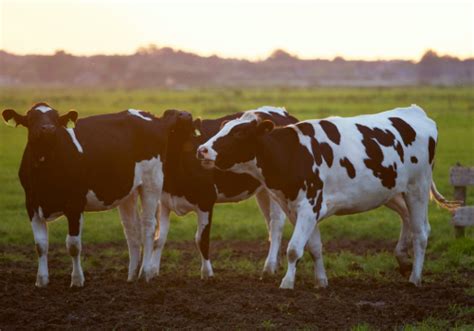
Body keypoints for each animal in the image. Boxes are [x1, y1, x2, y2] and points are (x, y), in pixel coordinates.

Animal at [3, 103, 193, 288]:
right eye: (32, 119)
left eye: (56, 119)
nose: (48, 129)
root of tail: (153, 118)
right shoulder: (31, 205)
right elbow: (40, 245)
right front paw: (41, 280)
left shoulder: (75, 205)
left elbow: (73, 245)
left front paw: (77, 280)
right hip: (128, 192)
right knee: (132, 230)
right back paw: (131, 276)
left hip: (151, 182)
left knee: (148, 226)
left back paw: (145, 273)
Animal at [198, 105, 462, 290]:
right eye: (222, 128)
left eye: (239, 133)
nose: (202, 150)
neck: (293, 153)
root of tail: (415, 112)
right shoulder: (299, 209)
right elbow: (313, 247)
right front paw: (321, 281)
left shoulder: (309, 206)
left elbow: (293, 249)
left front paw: (287, 283)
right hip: (392, 191)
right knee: (407, 218)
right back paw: (402, 259)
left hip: (418, 188)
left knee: (421, 232)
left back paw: (415, 277)